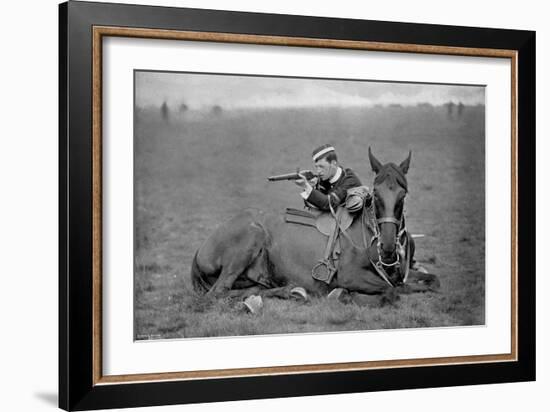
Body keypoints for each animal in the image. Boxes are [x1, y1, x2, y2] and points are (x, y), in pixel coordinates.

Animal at [192, 148, 442, 306]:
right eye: (376, 194)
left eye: (403, 195)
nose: (388, 247)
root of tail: (200, 250)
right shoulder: (350, 276)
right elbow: (391, 291)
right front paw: (343, 295)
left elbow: (431, 281)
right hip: (251, 235)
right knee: (217, 293)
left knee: (250, 290)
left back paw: (290, 291)